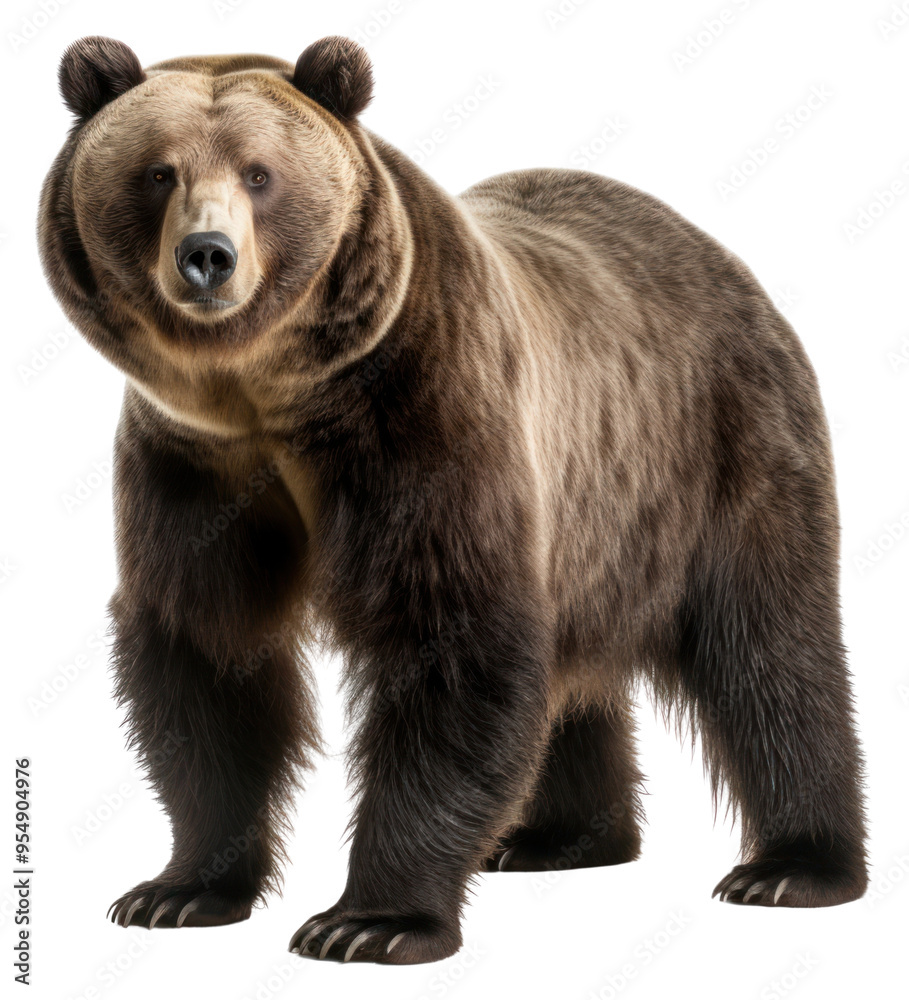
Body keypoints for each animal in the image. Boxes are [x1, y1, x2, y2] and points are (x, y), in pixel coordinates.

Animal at [39, 35, 868, 965]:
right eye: (157, 172)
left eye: (260, 173)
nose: (208, 255)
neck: (270, 398)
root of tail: (716, 253)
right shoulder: (193, 464)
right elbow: (208, 652)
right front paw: (178, 890)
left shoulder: (422, 416)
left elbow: (450, 638)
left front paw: (368, 920)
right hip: (590, 517)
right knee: (570, 675)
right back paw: (562, 837)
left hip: (720, 449)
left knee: (767, 646)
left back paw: (792, 867)